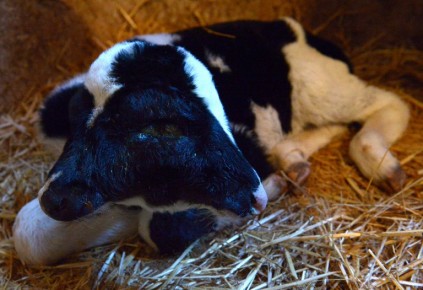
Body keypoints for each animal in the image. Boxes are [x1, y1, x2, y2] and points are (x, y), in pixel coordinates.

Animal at [14, 17, 410, 266]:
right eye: (162, 130)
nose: (255, 194)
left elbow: (157, 228)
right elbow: (29, 233)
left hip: (319, 85)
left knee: (387, 104)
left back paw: (380, 163)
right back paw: (292, 160)